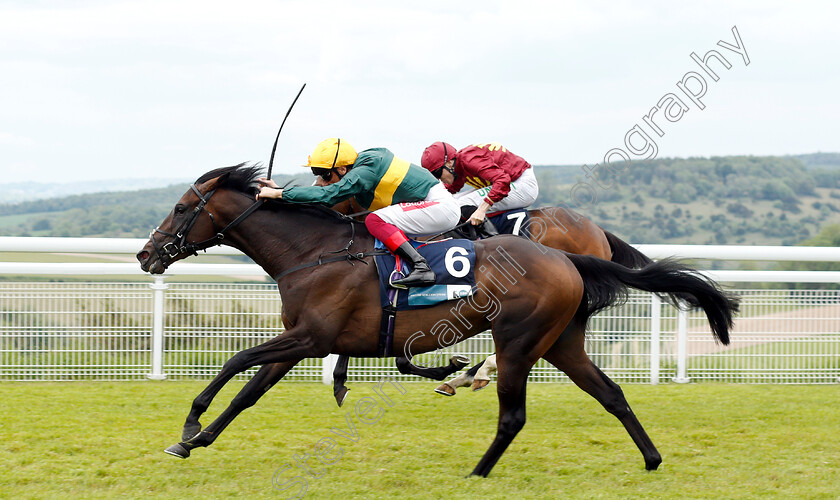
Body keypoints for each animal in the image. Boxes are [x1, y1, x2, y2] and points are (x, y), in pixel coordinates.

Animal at [136, 165, 736, 476]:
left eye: (183, 208)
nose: (146, 255)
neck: (317, 250)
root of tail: (569, 256)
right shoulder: (303, 340)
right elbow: (248, 392)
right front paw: (195, 441)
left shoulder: (309, 336)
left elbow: (235, 361)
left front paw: (189, 426)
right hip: (562, 341)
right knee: (610, 393)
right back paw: (652, 459)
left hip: (519, 341)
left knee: (513, 414)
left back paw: (476, 463)